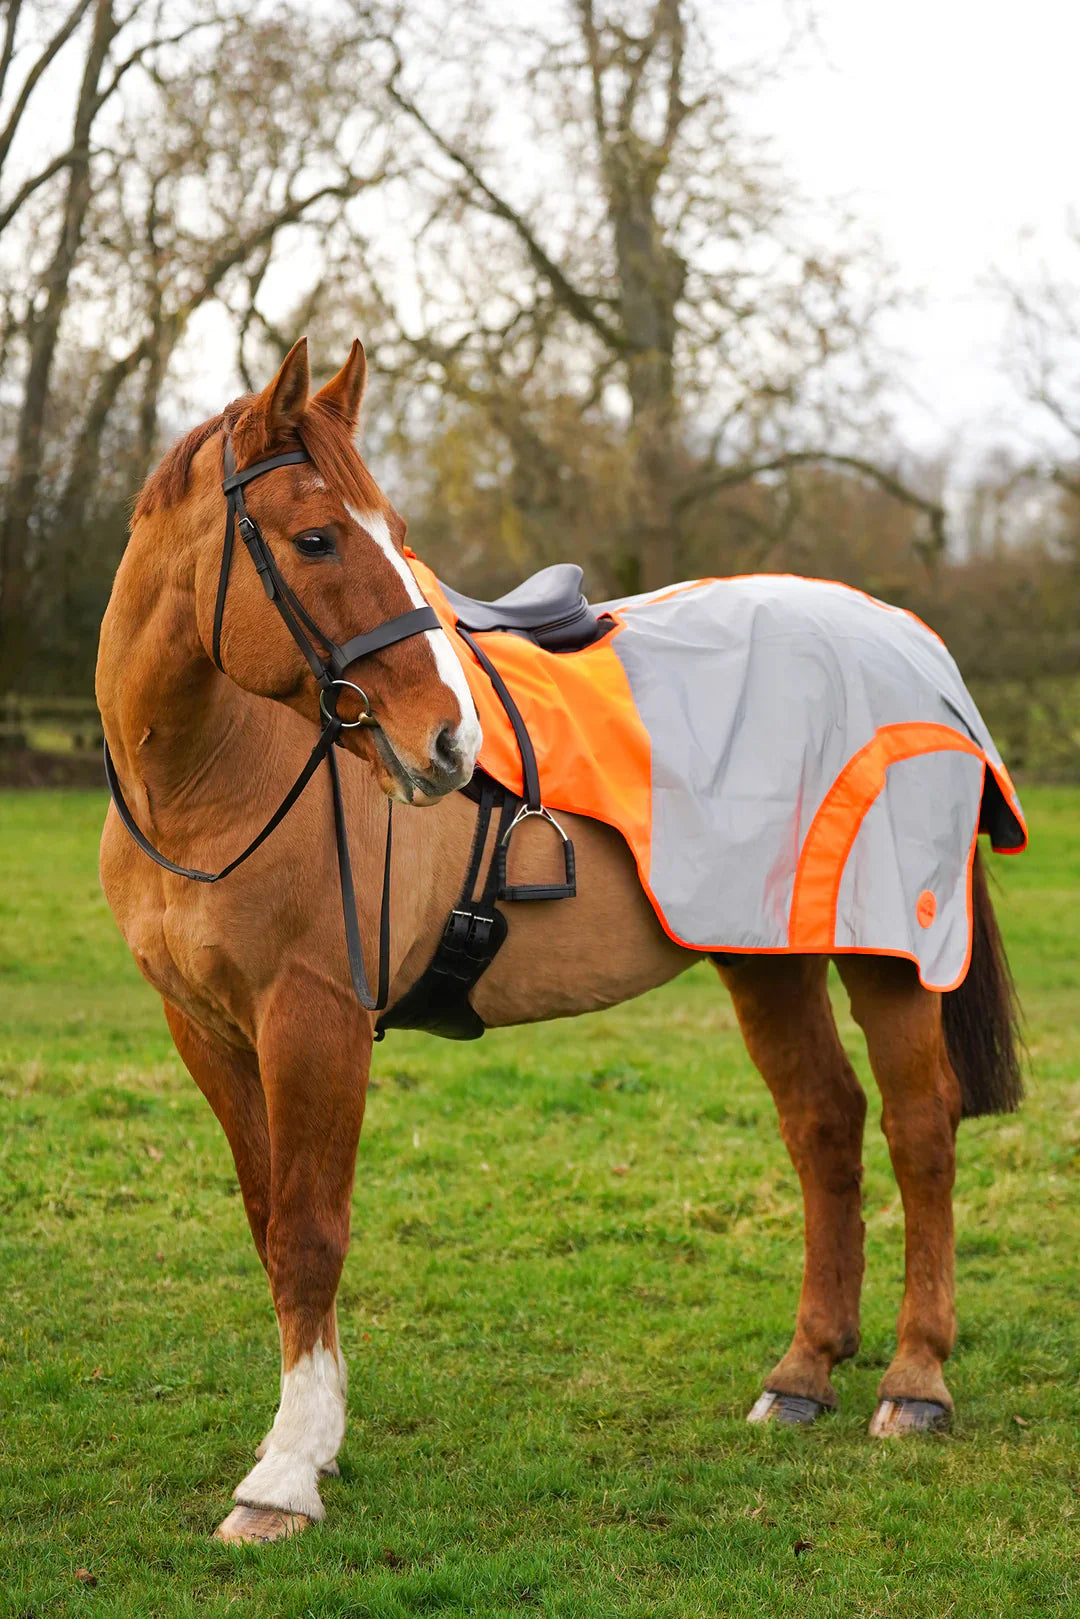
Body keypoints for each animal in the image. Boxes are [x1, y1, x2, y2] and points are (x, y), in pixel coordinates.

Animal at [99, 338, 1023, 1541]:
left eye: (393, 531)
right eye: (316, 538)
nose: (447, 742)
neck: (214, 773)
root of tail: (910, 642)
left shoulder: (315, 1017)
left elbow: (308, 1234)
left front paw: (285, 1474)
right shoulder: (207, 1029)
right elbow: (268, 1225)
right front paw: (316, 1435)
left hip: (887, 955)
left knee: (921, 1130)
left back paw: (915, 1381)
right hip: (764, 952)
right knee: (826, 1122)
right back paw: (804, 1373)